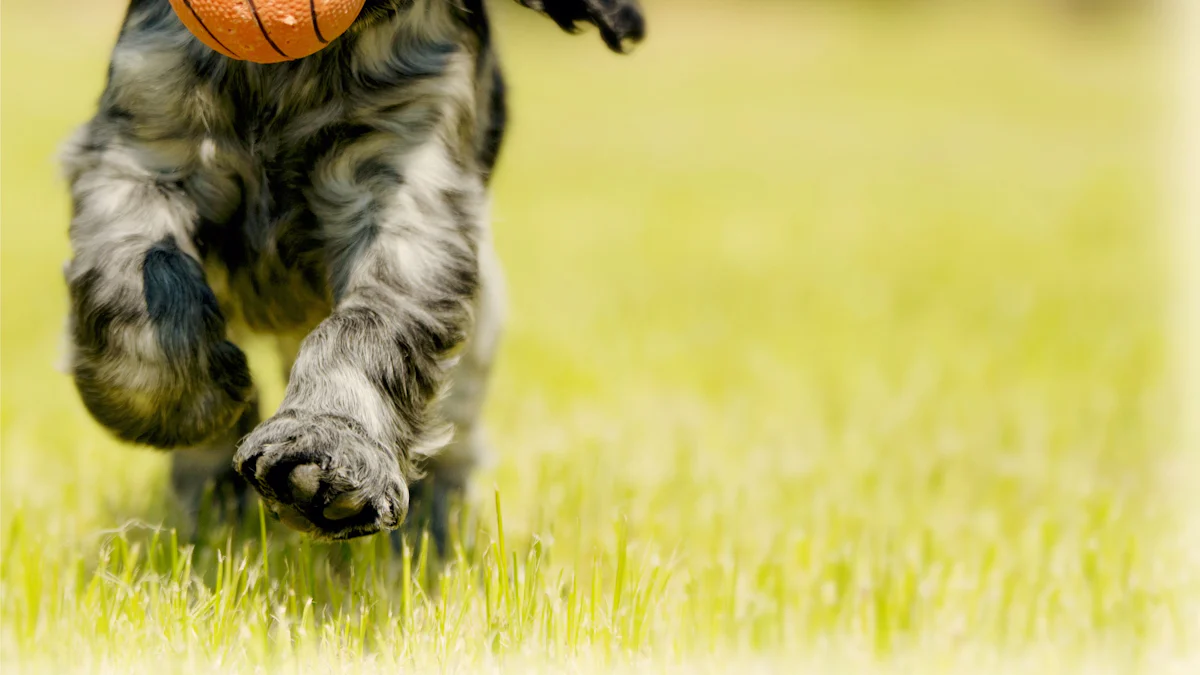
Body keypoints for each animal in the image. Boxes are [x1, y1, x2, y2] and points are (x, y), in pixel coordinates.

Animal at [63, 0, 648, 542]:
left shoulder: (406, 191)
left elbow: (367, 326)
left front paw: (325, 455)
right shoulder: (141, 146)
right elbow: (136, 273)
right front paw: (183, 404)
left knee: (456, 432)